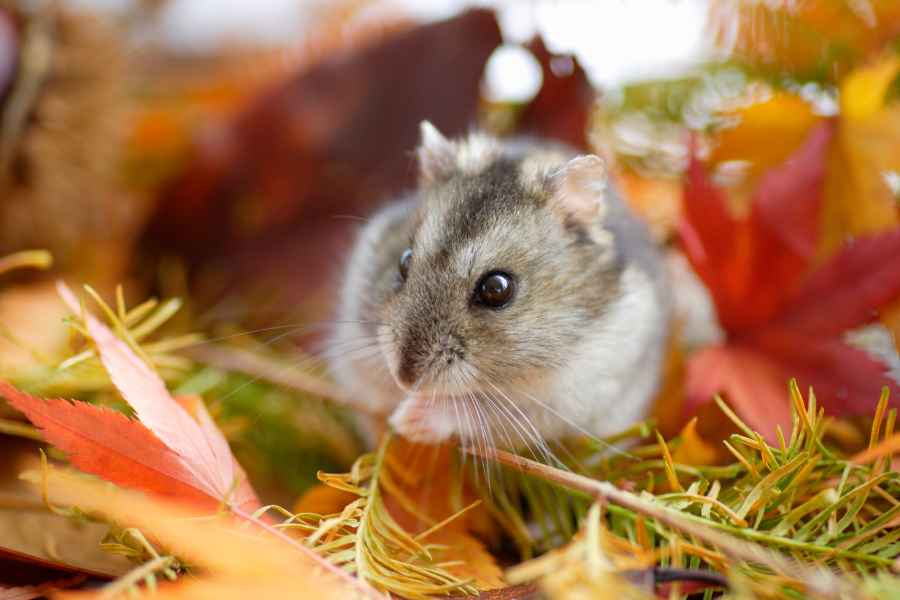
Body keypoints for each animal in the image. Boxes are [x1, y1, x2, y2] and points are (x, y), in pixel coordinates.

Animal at [329, 122, 671, 452]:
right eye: (404, 261)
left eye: (496, 288)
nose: (406, 380)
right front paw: (392, 411)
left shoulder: (568, 399)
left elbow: (484, 413)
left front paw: (408, 418)